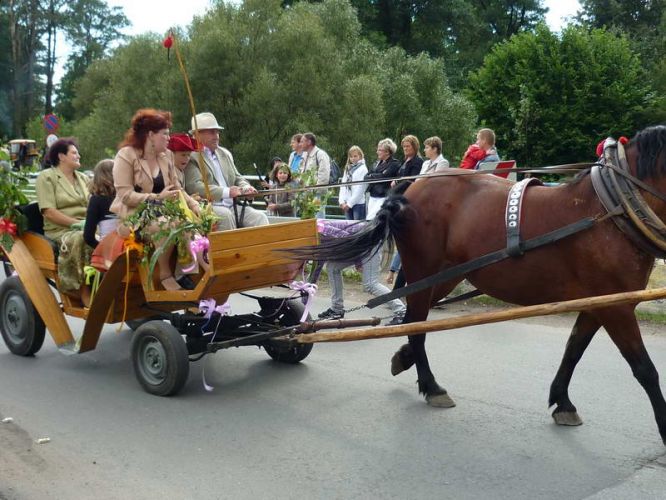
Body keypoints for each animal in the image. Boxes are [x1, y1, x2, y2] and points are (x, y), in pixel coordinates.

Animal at [300, 126, 664, 446]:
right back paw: (431, 386)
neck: (611, 211)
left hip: (444, 277)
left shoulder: (601, 302)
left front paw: (562, 401)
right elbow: (645, 369)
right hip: (424, 270)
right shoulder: (616, 307)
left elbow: (573, 350)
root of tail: (410, 189)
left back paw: (407, 360)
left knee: (413, 319)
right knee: (417, 325)